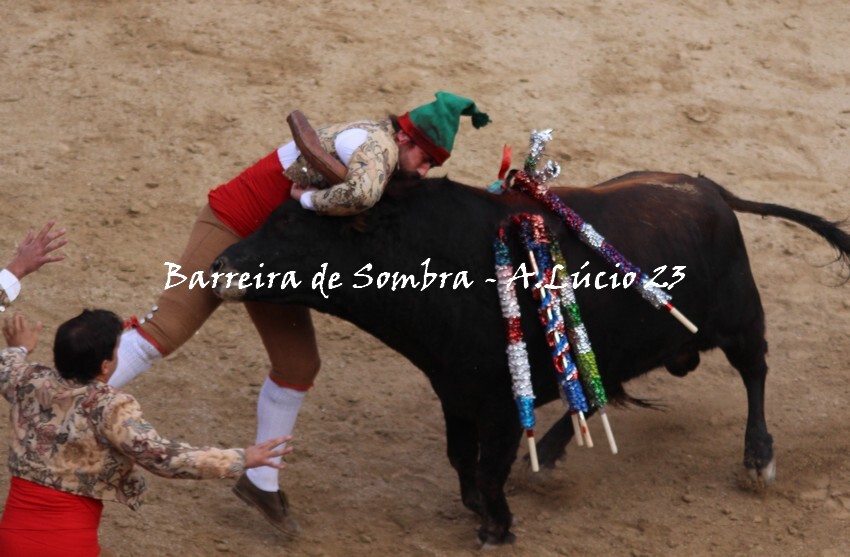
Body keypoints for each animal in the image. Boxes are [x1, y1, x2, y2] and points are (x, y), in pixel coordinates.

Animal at [210, 172, 850, 545]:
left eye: (290, 225)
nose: (219, 266)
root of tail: (710, 189)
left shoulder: (494, 405)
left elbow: (486, 467)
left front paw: (496, 526)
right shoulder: (456, 395)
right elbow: (462, 461)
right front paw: (480, 506)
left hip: (741, 319)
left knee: (756, 372)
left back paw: (758, 458)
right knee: (596, 388)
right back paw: (553, 451)